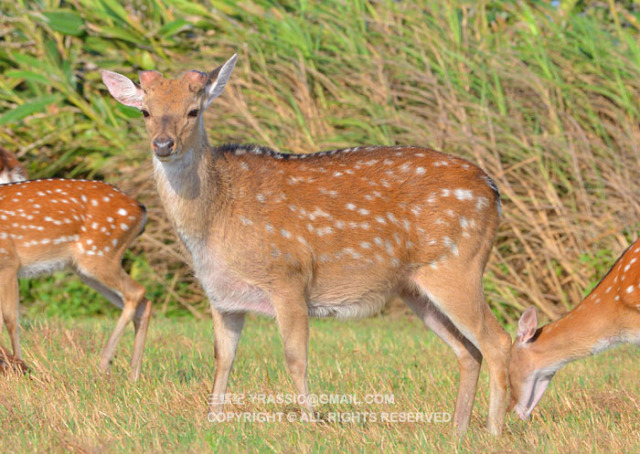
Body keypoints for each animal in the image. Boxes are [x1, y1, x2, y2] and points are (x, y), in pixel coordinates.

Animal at [0, 177, 152, 380]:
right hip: (87, 268)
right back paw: (133, 377)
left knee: (137, 292)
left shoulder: (9, 261)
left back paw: (104, 365)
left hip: (97, 254)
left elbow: (10, 320)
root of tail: (140, 208)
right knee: (142, 302)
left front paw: (18, 367)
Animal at [102, 55, 512, 434]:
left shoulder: (288, 277)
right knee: (467, 351)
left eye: (193, 110)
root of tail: (493, 191)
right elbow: (222, 357)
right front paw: (212, 420)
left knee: (497, 341)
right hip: (417, 289)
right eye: (145, 111)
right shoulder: (222, 297)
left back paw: (493, 430)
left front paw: (312, 423)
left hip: (457, 266)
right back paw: (457, 430)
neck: (216, 220)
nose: (163, 144)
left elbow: (295, 358)